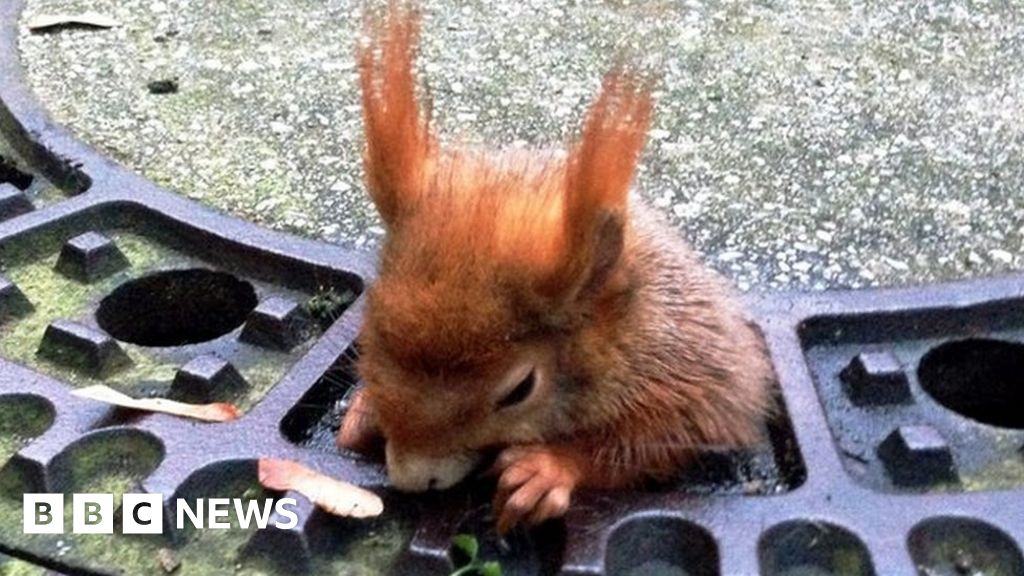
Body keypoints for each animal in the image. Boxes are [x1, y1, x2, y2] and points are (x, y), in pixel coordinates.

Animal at [337, 2, 774, 534]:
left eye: (520, 390)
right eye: (366, 332)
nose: (411, 478)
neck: (615, 328)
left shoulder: (683, 364)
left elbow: (667, 434)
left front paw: (546, 470)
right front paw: (362, 412)